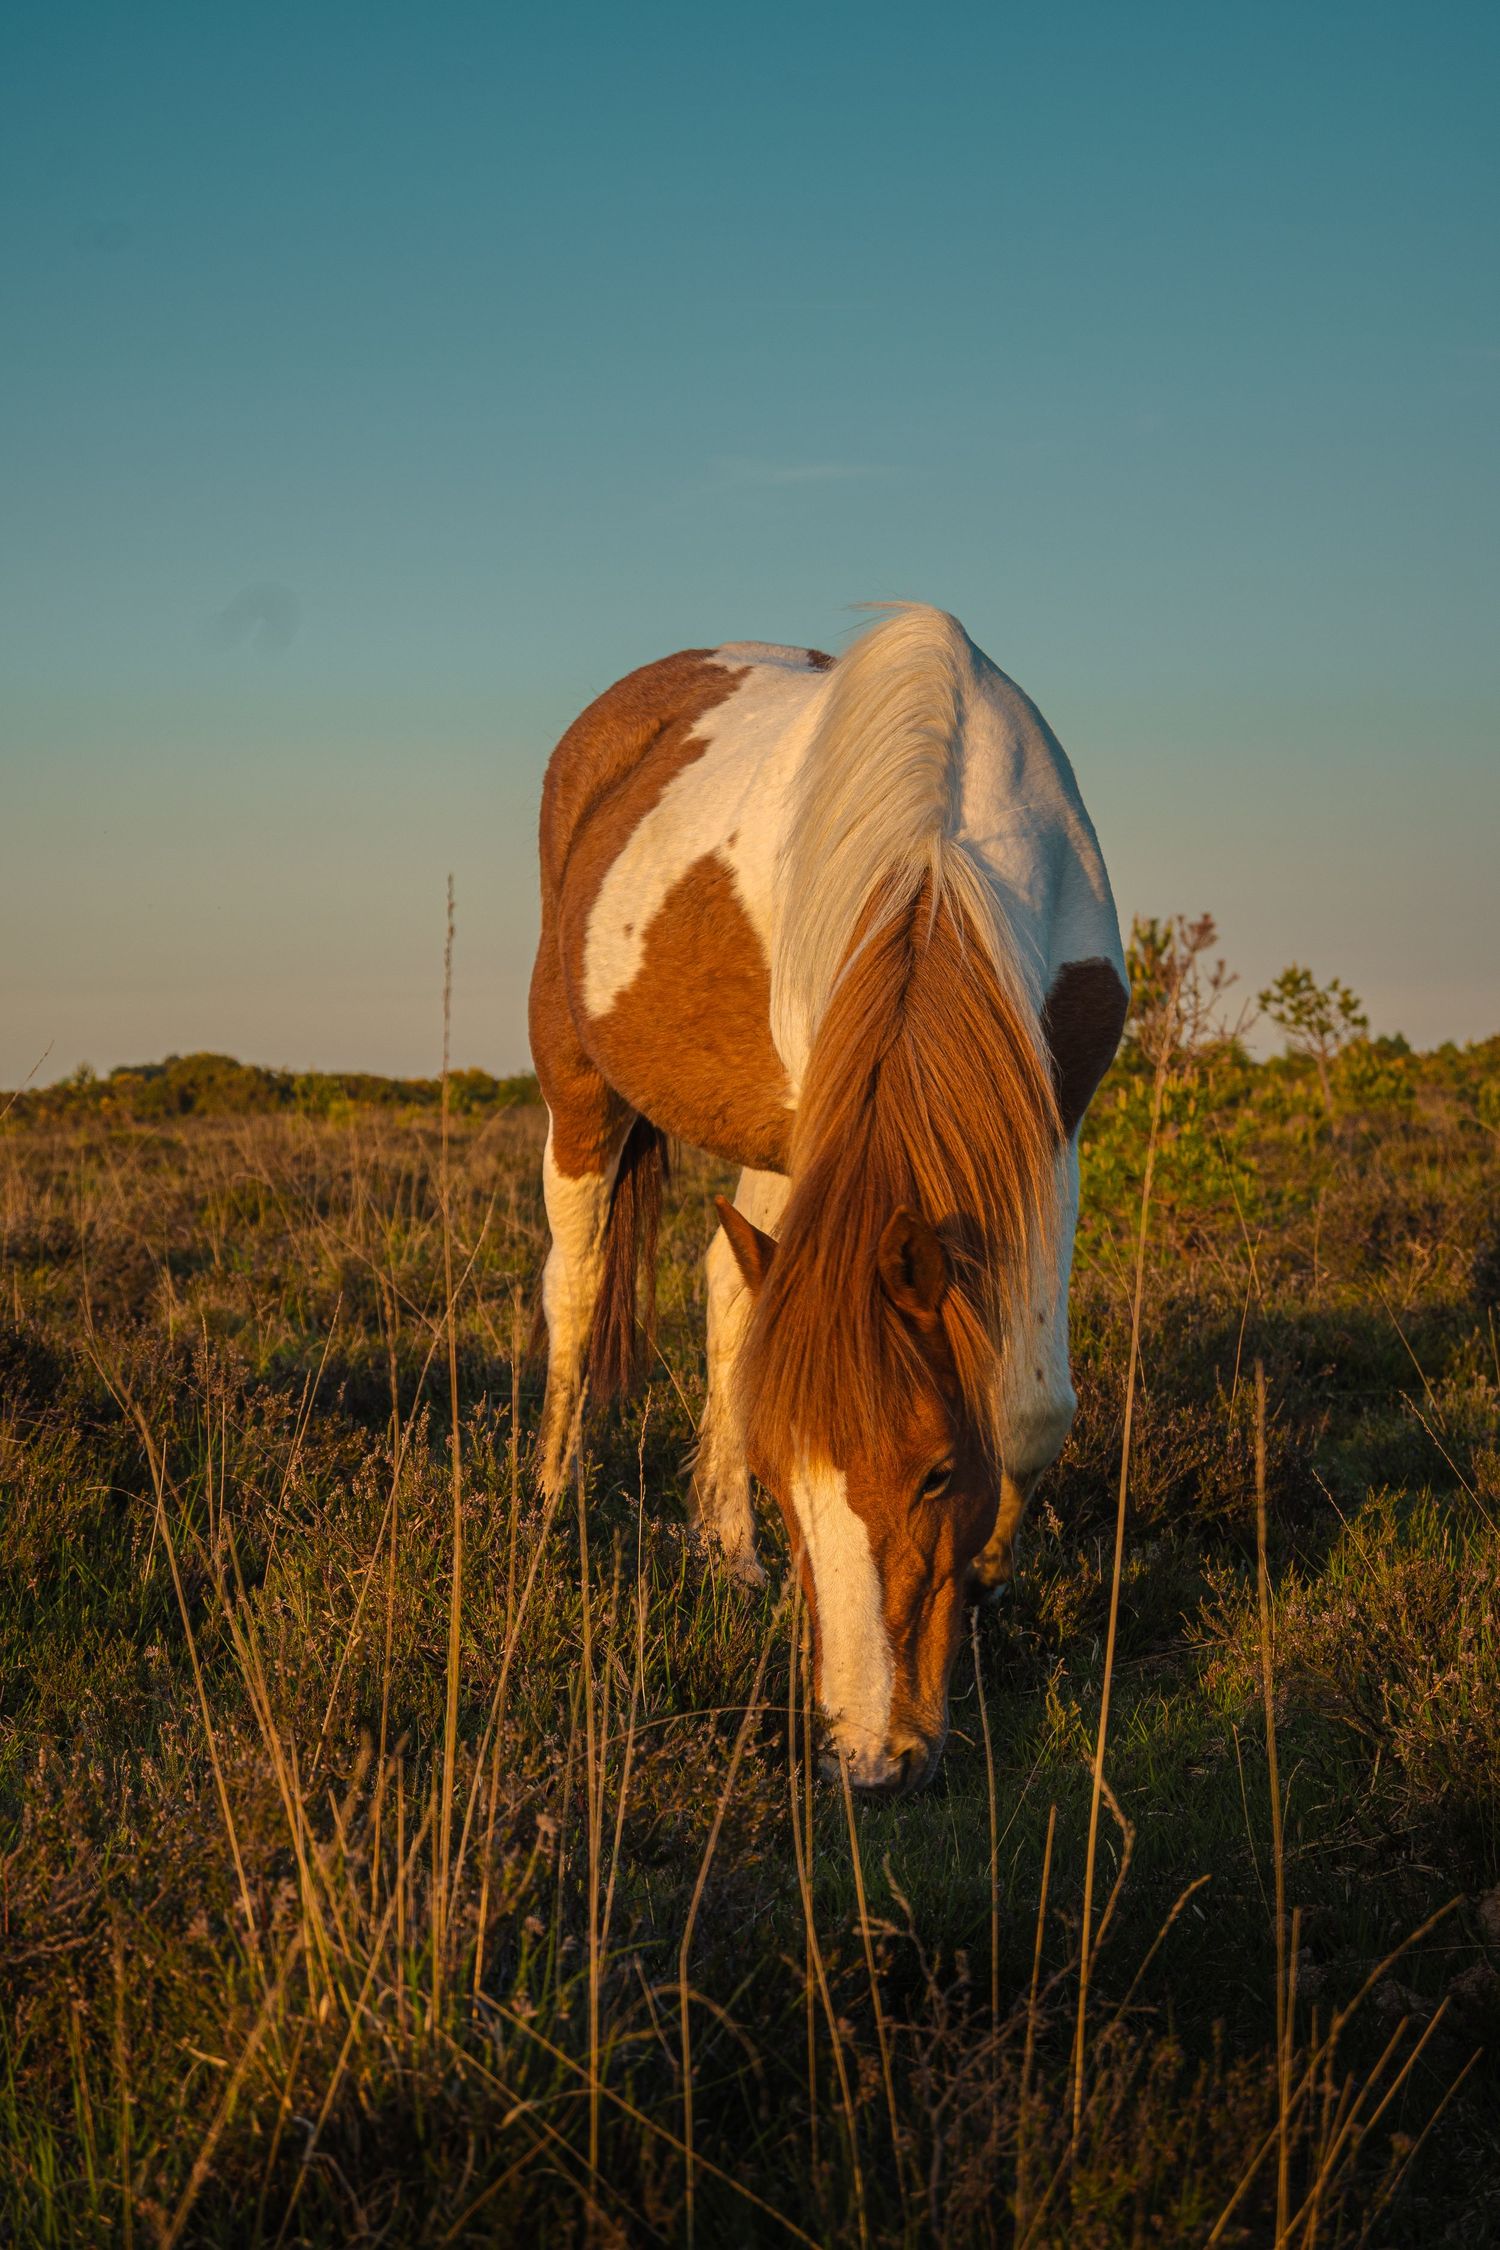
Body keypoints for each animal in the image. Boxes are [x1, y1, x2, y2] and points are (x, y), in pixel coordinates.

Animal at [528, 605, 1127, 1792]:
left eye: (938, 1474)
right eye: (786, 1482)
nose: (869, 1759)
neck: (943, 863)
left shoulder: (1053, 1137)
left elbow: (1032, 1402)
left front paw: (995, 1567)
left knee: (729, 1286)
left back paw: (723, 1551)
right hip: (578, 1078)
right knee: (572, 1284)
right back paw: (553, 1501)